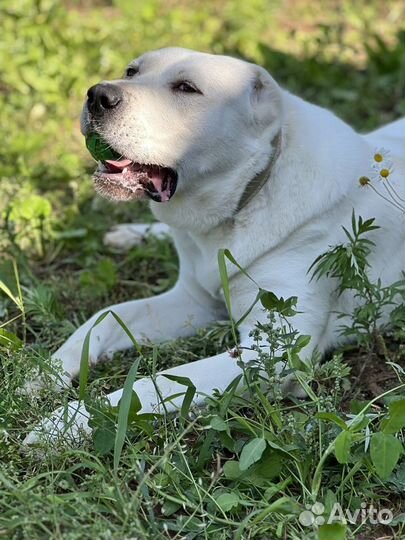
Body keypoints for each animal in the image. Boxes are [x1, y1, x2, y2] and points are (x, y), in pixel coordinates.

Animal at [24, 46, 400, 442]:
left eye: (186, 88)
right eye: (131, 71)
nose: (98, 95)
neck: (243, 200)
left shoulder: (276, 352)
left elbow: (156, 382)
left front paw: (65, 422)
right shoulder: (193, 299)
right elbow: (104, 318)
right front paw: (45, 373)